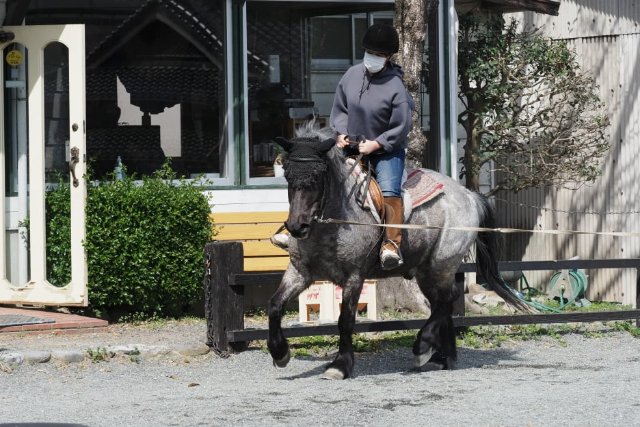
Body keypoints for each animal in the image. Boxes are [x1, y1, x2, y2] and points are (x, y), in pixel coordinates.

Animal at [267, 121, 527, 379]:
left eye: (319, 175)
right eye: (288, 176)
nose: (297, 227)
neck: (331, 223)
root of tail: (469, 195)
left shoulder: (354, 277)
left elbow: (345, 320)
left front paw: (340, 365)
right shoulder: (300, 272)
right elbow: (274, 305)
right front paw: (280, 353)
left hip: (442, 264)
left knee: (448, 299)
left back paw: (423, 346)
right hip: (426, 272)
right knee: (441, 303)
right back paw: (442, 358)